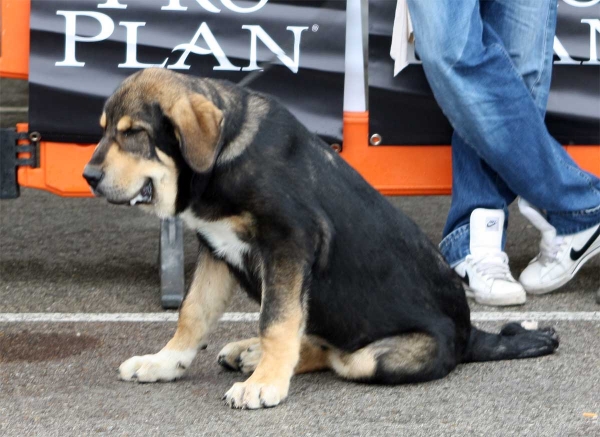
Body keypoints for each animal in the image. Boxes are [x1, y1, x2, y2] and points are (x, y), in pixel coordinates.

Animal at [83, 69, 556, 408]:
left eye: (134, 133)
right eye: (103, 130)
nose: (88, 177)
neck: (222, 160)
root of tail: (469, 336)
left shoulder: (289, 242)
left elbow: (277, 321)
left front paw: (265, 384)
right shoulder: (215, 249)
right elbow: (193, 313)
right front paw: (165, 363)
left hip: (373, 357)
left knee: (337, 356)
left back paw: (261, 363)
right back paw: (250, 353)